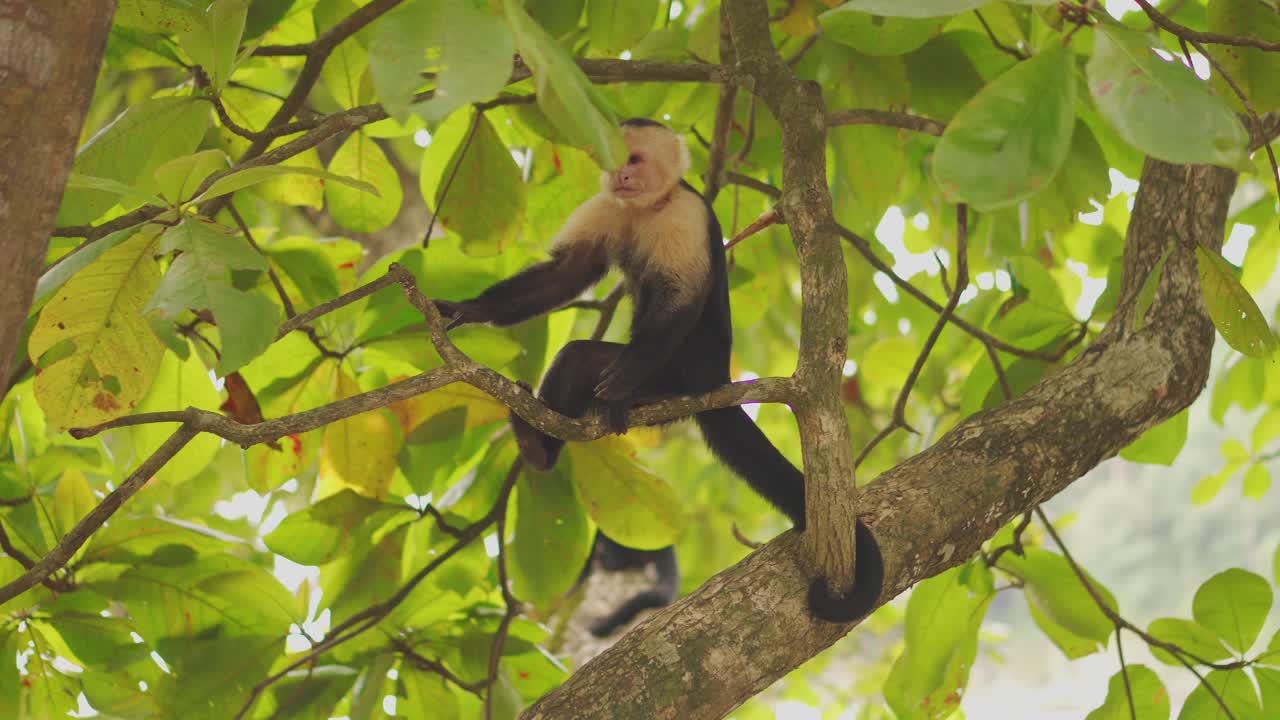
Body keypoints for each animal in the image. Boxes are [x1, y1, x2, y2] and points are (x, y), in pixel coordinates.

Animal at [433, 118, 883, 626]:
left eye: (634, 159)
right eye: (615, 160)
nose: (621, 176)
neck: (646, 208)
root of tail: (716, 382)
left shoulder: (685, 215)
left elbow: (679, 297)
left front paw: (623, 379)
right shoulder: (607, 206)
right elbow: (566, 274)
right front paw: (472, 309)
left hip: (677, 378)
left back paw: (618, 397)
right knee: (575, 359)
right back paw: (538, 448)